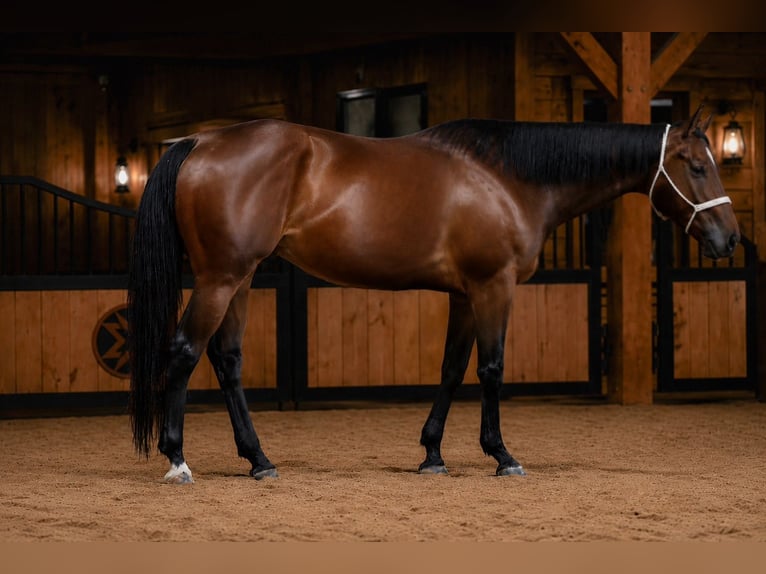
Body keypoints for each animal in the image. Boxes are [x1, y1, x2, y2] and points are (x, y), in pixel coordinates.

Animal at [127, 105, 740, 484]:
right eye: (696, 166)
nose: (729, 238)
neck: (508, 178)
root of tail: (199, 141)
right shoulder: (494, 286)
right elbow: (491, 369)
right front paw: (502, 456)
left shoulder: (465, 294)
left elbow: (450, 369)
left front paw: (433, 455)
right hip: (221, 277)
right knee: (183, 351)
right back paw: (178, 460)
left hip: (242, 278)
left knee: (226, 360)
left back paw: (258, 459)